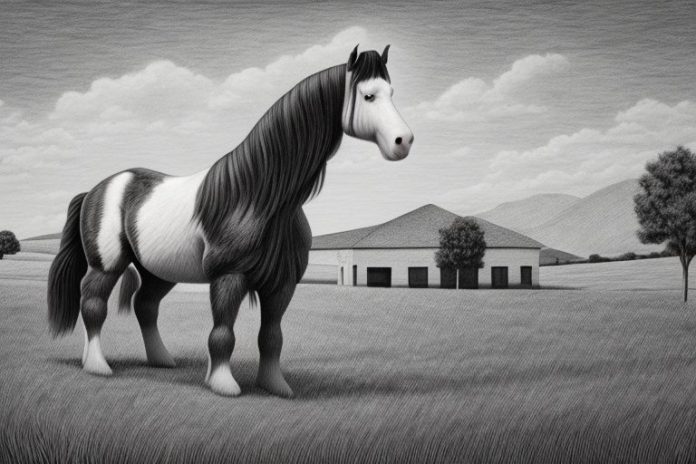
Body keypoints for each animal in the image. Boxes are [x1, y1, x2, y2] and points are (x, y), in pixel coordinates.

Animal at [47, 45, 414, 398]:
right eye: (368, 95)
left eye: (392, 91)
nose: (404, 141)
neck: (258, 197)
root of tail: (96, 189)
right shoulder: (229, 277)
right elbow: (222, 334)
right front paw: (223, 383)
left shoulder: (282, 285)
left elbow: (272, 336)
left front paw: (275, 386)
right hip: (107, 265)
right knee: (93, 304)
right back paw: (97, 365)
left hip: (159, 271)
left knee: (145, 305)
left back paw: (160, 360)